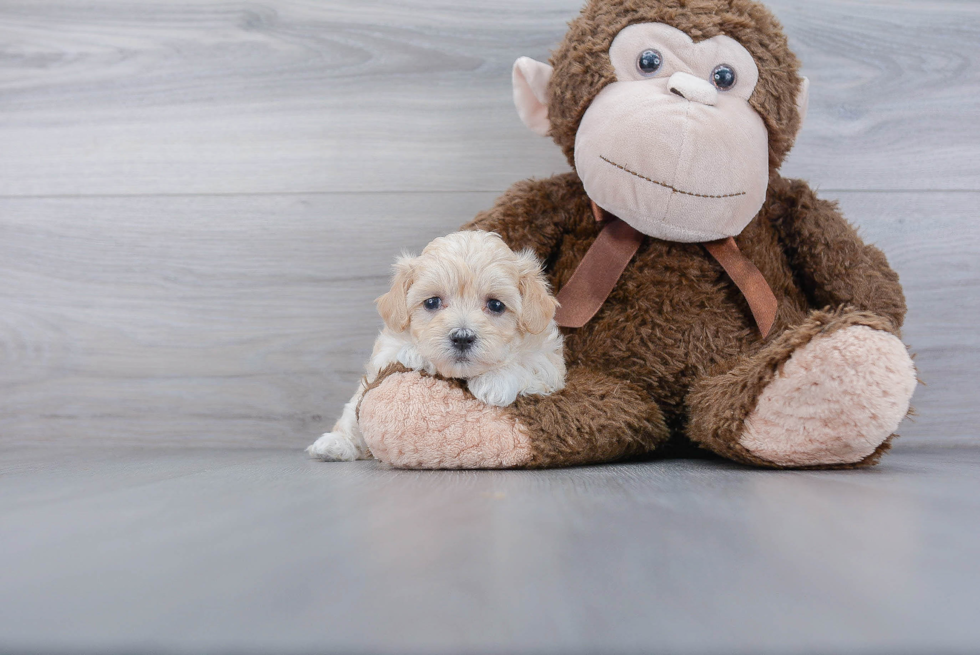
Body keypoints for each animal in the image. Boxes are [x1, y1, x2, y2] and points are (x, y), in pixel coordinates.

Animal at [306, 231, 568, 462]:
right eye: (432, 302)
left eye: (496, 305)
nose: (462, 337)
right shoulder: (382, 356)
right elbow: (357, 404)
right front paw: (415, 354)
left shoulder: (548, 362)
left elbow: (526, 363)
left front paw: (495, 381)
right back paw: (334, 443)